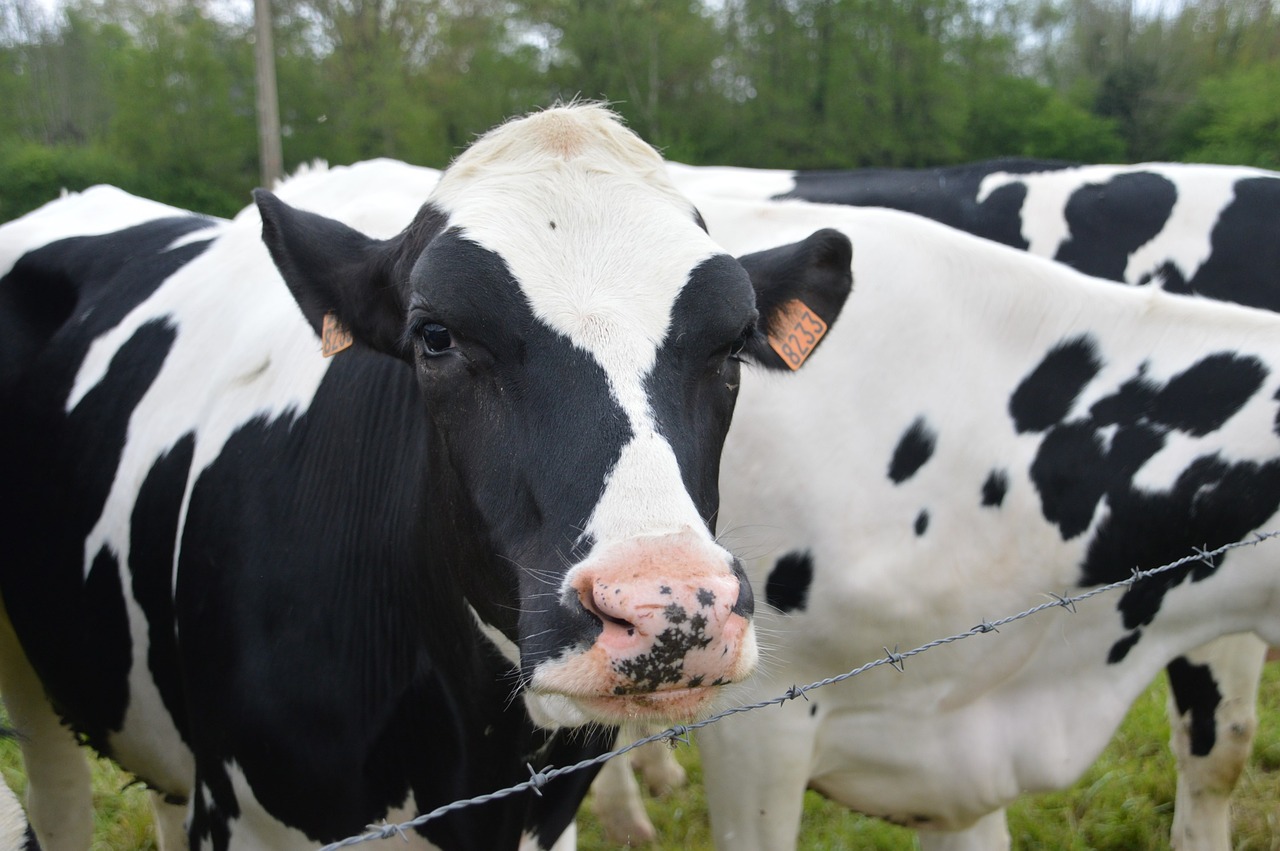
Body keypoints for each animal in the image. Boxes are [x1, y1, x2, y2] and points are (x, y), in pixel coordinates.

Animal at [2, 108, 860, 849]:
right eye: (436, 336)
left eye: (734, 344)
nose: (668, 611)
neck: (470, 753)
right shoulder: (240, 813)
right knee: (57, 795)